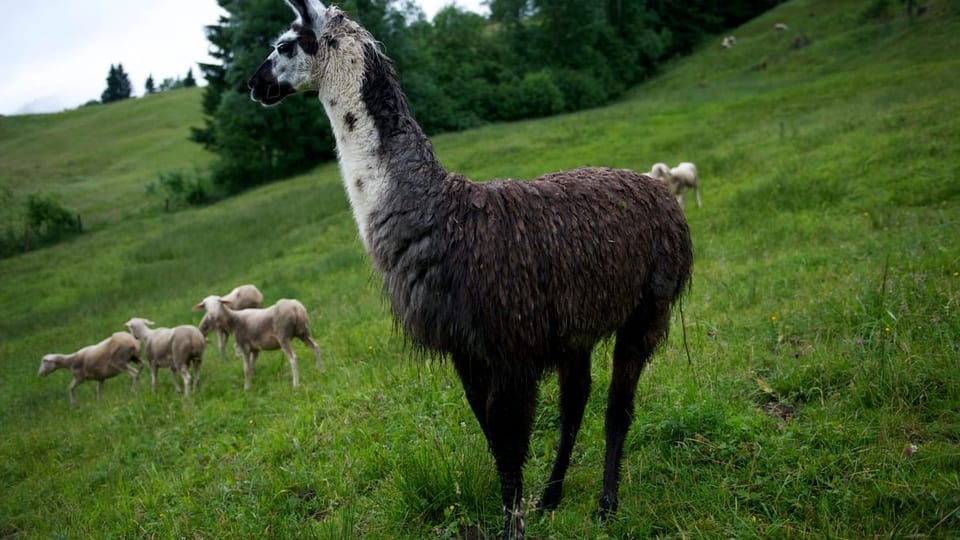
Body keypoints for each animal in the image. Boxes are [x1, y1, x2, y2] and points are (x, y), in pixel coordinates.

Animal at [193, 298, 324, 390]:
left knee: (293, 358)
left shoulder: (244, 346)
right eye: (205, 306)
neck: (234, 321)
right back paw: (321, 370)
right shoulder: (255, 349)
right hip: (304, 332)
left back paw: (295, 384)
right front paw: (252, 382)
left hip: (283, 336)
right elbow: (251, 367)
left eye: (219, 303)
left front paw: (246, 388)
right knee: (315, 347)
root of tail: (296, 307)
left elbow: (246, 368)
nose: (212, 315)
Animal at [248, 3, 692, 536]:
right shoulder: (467, 348)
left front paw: (513, 527)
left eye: (283, 45)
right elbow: (493, 440)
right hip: (574, 325)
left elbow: (511, 443)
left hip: (648, 305)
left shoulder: (509, 345)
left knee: (617, 407)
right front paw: (519, 515)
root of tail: (659, 192)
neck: (440, 215)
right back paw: (551, 498)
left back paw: (607, 504)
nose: (254, 84)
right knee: (575, 405)